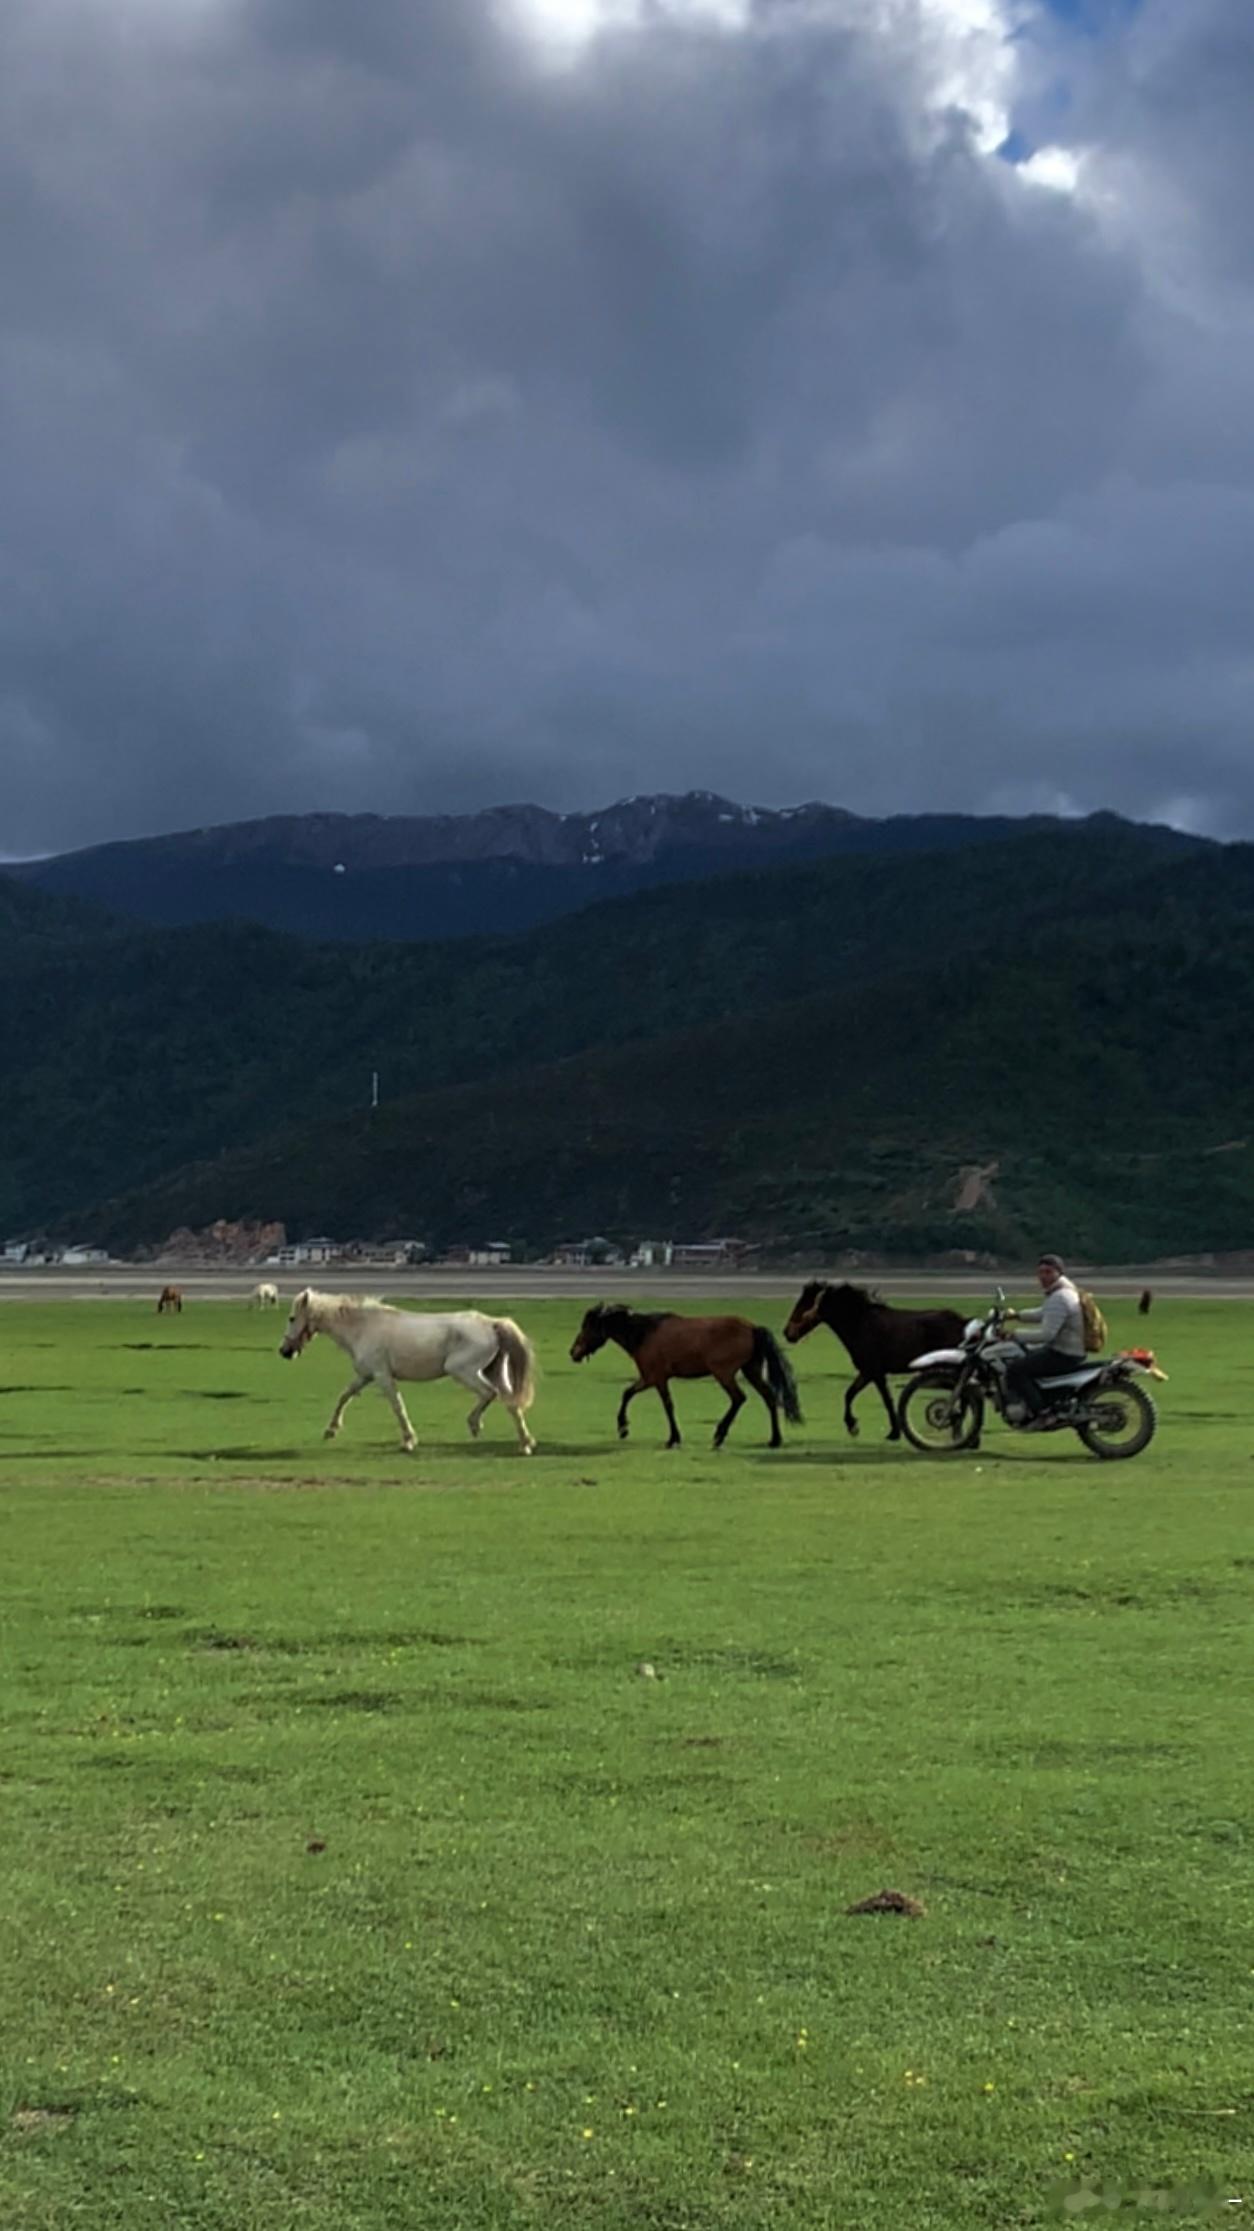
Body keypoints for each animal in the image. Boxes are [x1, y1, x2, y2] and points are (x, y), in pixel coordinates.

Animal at [275, 1285, 535, 1454]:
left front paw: (409, 1441)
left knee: (490, 1393)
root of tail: (492, 1324)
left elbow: (397, 1406)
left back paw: (475, 1425)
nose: (284, 1351)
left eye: (291, 1318)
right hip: (493, 1371)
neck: (362, 1327)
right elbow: (345, 1395)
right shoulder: (366, 1375)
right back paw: (525, 1444)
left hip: (463, 1371)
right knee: (511, 1403)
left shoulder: (382, 1376)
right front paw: (331, 1430)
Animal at [568, 1302, 798, 1454]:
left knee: (739, 1398)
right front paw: (623, 1428)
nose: (573, 1352)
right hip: (751, 1371)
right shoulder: (649, 1378)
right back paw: (775, 1439)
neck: (644, 1333)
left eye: (587, 1326)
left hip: (724, 1374)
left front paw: (672, 1439)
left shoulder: (655, 1378)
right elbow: (627, 1393)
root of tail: (752, 1328)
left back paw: (719, 1435)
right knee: (769, 1398)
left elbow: (667, 1405)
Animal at [780, 1285, 968, 1436]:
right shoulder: (867, 1372)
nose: (787, 1333)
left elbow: (886, 1400)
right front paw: (853, 1426)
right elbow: (849, 1394)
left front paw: (893, 1432)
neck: (860, 1324)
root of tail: (964, 1323)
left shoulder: (874, 1372)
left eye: (803, 1305)